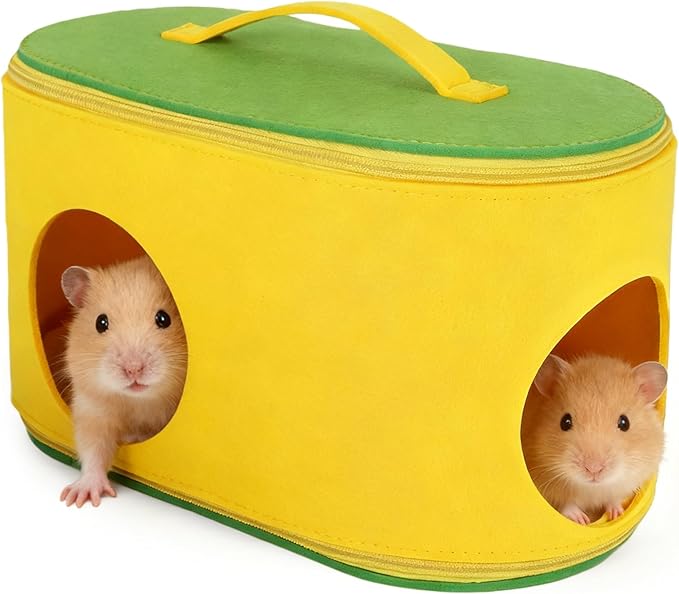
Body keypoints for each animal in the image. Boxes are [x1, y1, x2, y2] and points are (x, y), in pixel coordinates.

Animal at [59, 255, 188, 507]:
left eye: (163, 319)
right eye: (101, 323)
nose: (133, 369)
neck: (140, 401)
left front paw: (134, 436)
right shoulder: (92, 409)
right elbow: (93, 450)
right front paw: (77, 497)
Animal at [521, 353, 666, 525]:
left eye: (625, 423)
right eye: (565, 422)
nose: (593, 469)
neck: (593, 488)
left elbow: (614, 499)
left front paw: (616, 515)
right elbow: (566, 504)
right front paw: (582, 520)